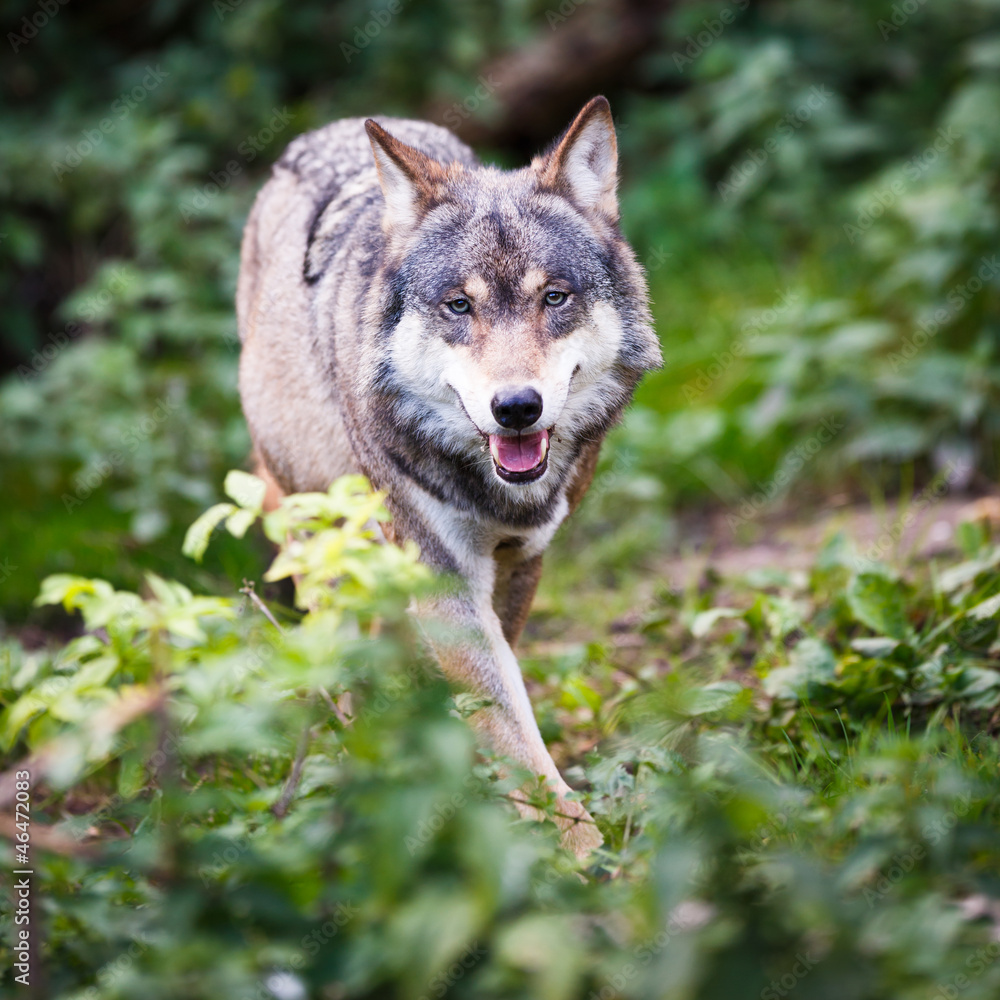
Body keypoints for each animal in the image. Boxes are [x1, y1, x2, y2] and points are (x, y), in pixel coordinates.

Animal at [237, 97, 660, 856]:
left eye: (555, 298)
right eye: (460, 306)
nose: (517, 406)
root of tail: (327, 130)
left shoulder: (522, 562)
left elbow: (505, 708)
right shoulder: (441, 578)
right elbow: (515, 734)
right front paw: (586, 857)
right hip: (318, 539)